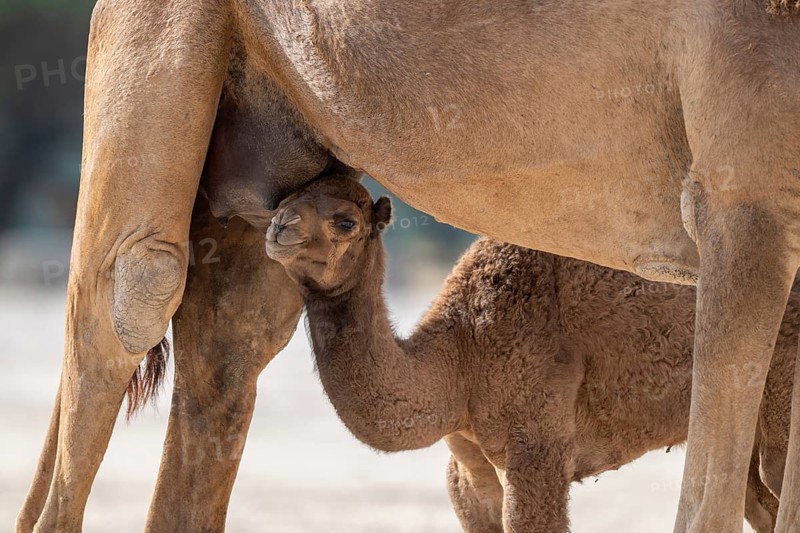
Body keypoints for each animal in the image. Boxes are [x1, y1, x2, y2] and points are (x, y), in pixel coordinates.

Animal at [264, 175, 795, 532]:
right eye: (282, 203)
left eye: (345, 222)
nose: (279, 229)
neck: (457, 360)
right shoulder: (469, 469)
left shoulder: (538, 443)